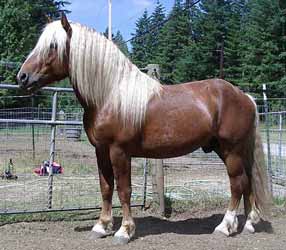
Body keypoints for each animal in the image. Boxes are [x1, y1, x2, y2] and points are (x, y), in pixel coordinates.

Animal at [16, 14, 272, 243]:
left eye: (53, 46)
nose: (22, 77)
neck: (110, 95)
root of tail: (245, 97)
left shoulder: (119, 151)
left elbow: (124, 189)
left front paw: (124, 231)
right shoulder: (101, 150)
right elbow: (106, 187)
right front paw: (101, 226)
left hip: (232, 150)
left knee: (237, 184)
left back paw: (224, 227)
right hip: (228, 150)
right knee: (248, 182)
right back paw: (248, 224)